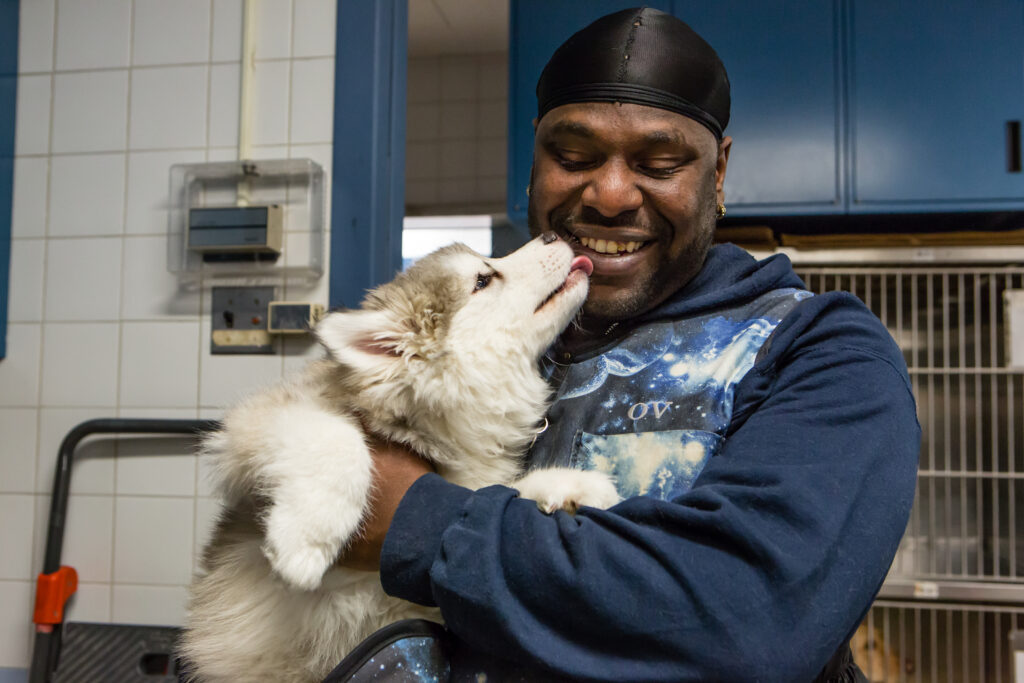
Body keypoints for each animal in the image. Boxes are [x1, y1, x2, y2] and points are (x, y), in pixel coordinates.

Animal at [180, 235, 618, 683]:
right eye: (483, 279)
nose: (552, 236)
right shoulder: (256, 420)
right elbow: (338, 439)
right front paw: (307, 537)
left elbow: (488, 497)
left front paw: (570, 484)